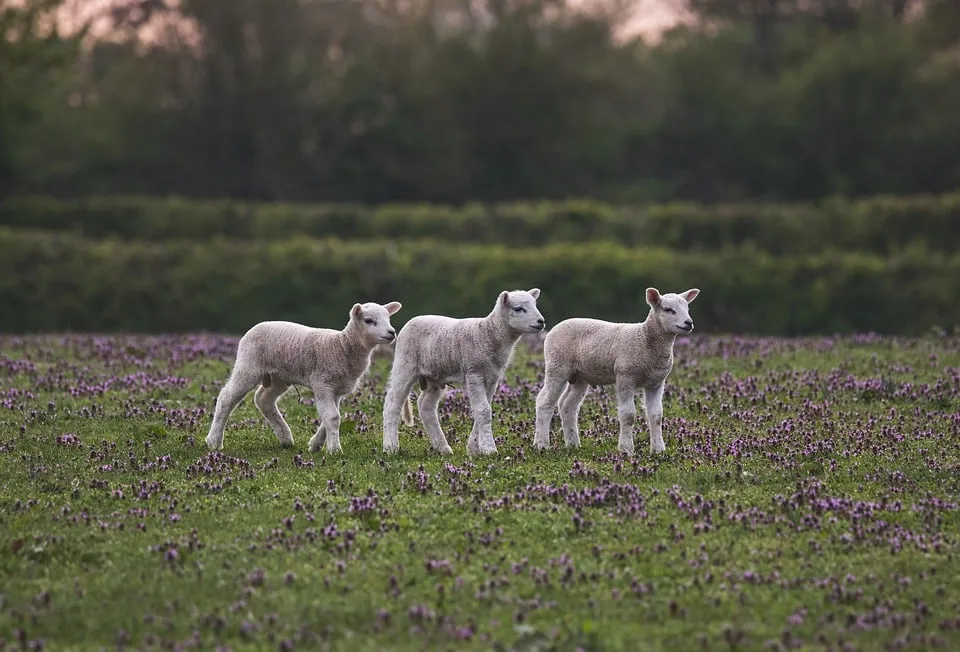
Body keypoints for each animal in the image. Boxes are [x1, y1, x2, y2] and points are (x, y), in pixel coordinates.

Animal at [204, 300, 404, 454]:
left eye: (388, 318)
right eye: (369, 320)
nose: (392, 333)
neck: (342, 346)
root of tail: (255, 326)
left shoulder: (336, 389)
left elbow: (329, 418)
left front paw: (316, 445)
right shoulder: (323, 383)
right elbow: (333, 417)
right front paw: (335, 450)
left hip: (278, 376)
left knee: (263, 399)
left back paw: (285, 438)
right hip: (248, 365)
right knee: (227, 397)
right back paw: (213, 441)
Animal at [382, 288, 548, 456]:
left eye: (535, 305)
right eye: (518, 309)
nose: (541, 322)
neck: (489, 333)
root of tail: (413, 320)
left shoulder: (492, 378)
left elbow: (484, 409)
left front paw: (474, 448)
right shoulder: (474, 373)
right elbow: (483, 410)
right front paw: (489, 449)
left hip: (435, 376)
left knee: (425, 406)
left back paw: (443, 447)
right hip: (405, 364)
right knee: (392, 402)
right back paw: (390, 447)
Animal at [532, 288, 696, 456]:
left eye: (687, 308)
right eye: (668, 309)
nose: (689, 323)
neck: (644, 339)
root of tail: (554, 328)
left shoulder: (656, 382)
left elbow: (656, 416)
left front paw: (658, 450)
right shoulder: (625, 376)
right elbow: (628, 415)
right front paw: (626, 449)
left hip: (579, 376)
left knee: (567, 405)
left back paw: (573, 444)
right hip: (557, 366)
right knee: (544, 401)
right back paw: (542, 445)